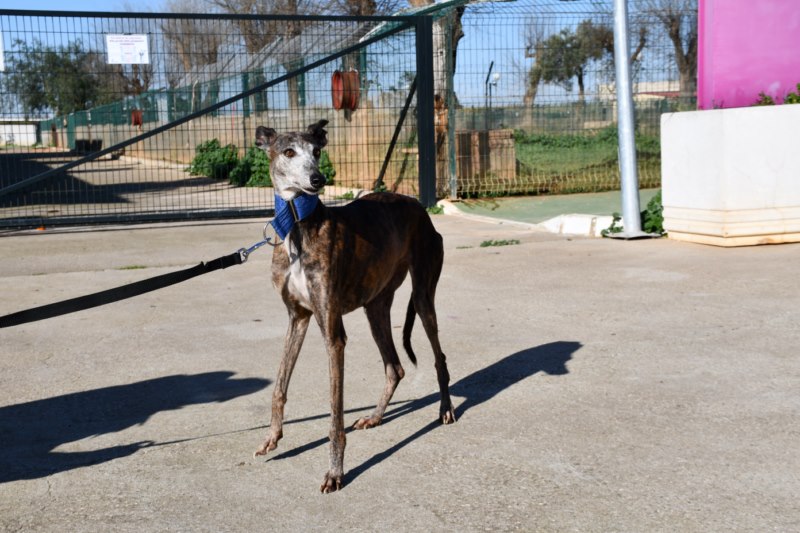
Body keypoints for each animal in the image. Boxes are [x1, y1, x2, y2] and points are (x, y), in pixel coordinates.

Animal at [252, 120, 456, 492]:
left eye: (317, 151)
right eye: (288, 151)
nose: (317, 180)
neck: (297, 226)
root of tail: (419, 207)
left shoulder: (333, 333)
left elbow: (335, 414)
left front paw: (335, 472)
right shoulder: (298, 318)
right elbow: (279, 385)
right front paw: (272, 438)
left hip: (423, 297)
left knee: (438, 357)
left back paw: (445, 409)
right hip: (375, 307)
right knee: (395, 368)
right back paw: (375, 417)